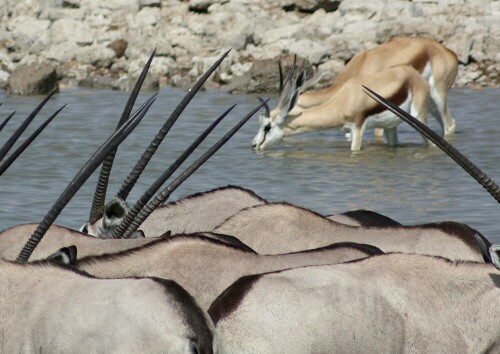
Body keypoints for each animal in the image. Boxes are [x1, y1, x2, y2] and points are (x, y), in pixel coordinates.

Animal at [254, 65, 430, 151]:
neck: (343, 101)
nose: (254, 145)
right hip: (390, 127)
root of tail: (412, 72)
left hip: (418, 116)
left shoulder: (357, 128)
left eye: (267, 126)